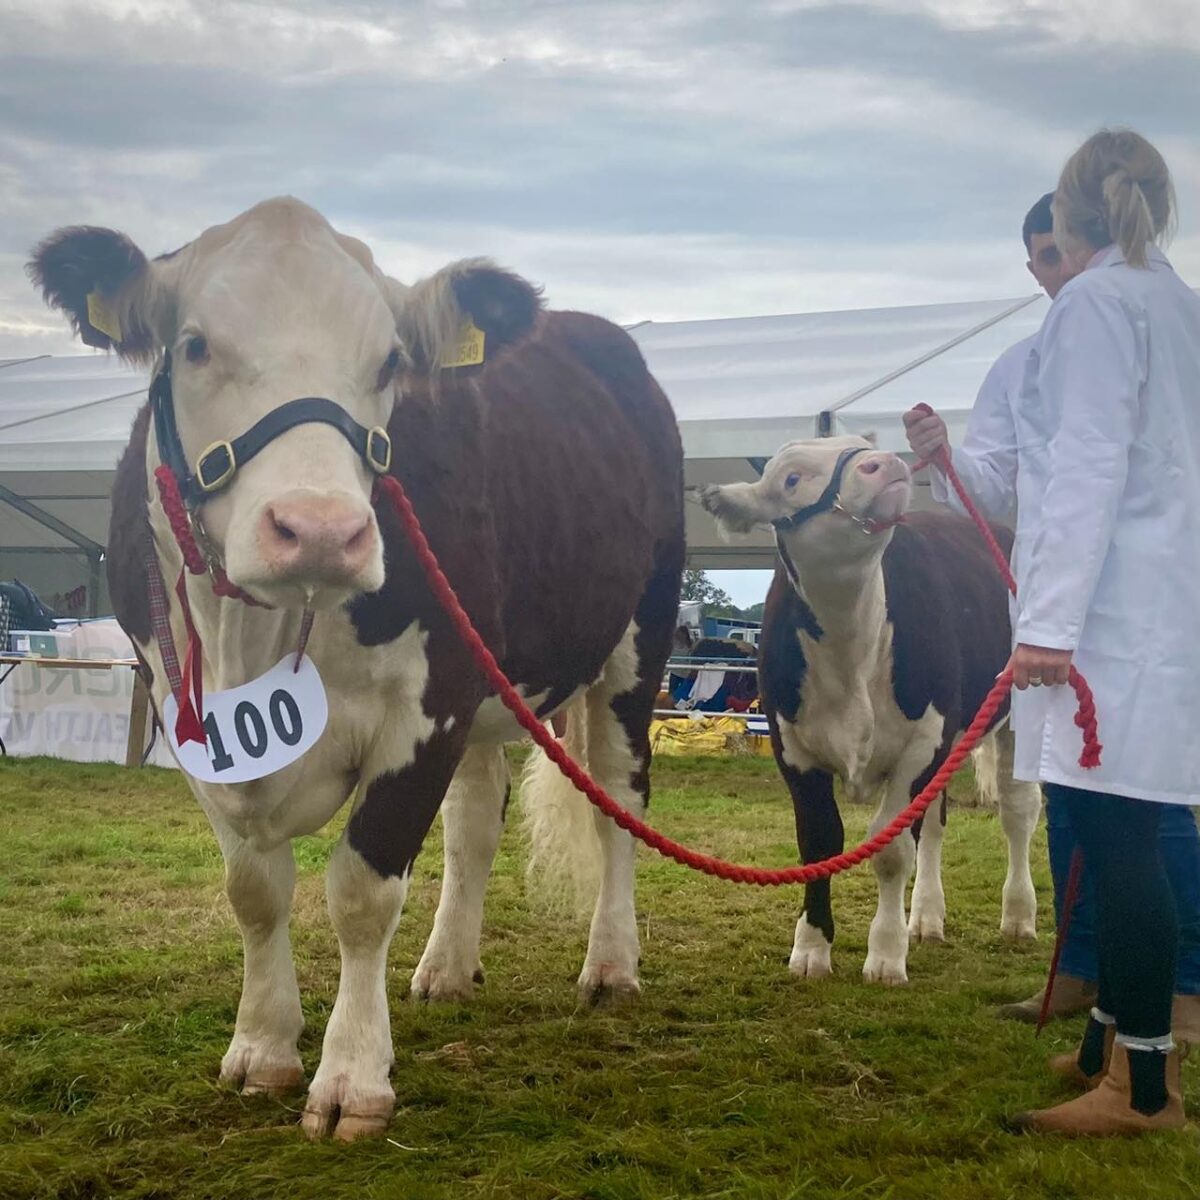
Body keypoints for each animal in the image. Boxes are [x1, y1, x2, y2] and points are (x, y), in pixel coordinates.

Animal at [28, 199, 686, 1142]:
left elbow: (363, 891)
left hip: (636, 646)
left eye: (391, 363)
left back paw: (610, 965)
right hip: (488, 686)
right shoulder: (190, 719)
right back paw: (447, 966)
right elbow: (255, 890)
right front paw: (261, 1049)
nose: (321, 529)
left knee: (618, 802)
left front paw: (351, 1078)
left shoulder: (427, 707)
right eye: (193, 345)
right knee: (476, 820)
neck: (254, 631)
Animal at [700, 439, 1041, 984]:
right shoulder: (793, 748)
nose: (883, 462)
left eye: (862, 444)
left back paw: (1018, 916)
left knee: (1018, 812)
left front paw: (884, 954)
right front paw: (811, 947)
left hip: (1016, 711)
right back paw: (926, 918)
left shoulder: (921, 746)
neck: (849, 639)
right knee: (936, 822)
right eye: (791, 478)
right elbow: (819, 842)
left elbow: (891, 849)